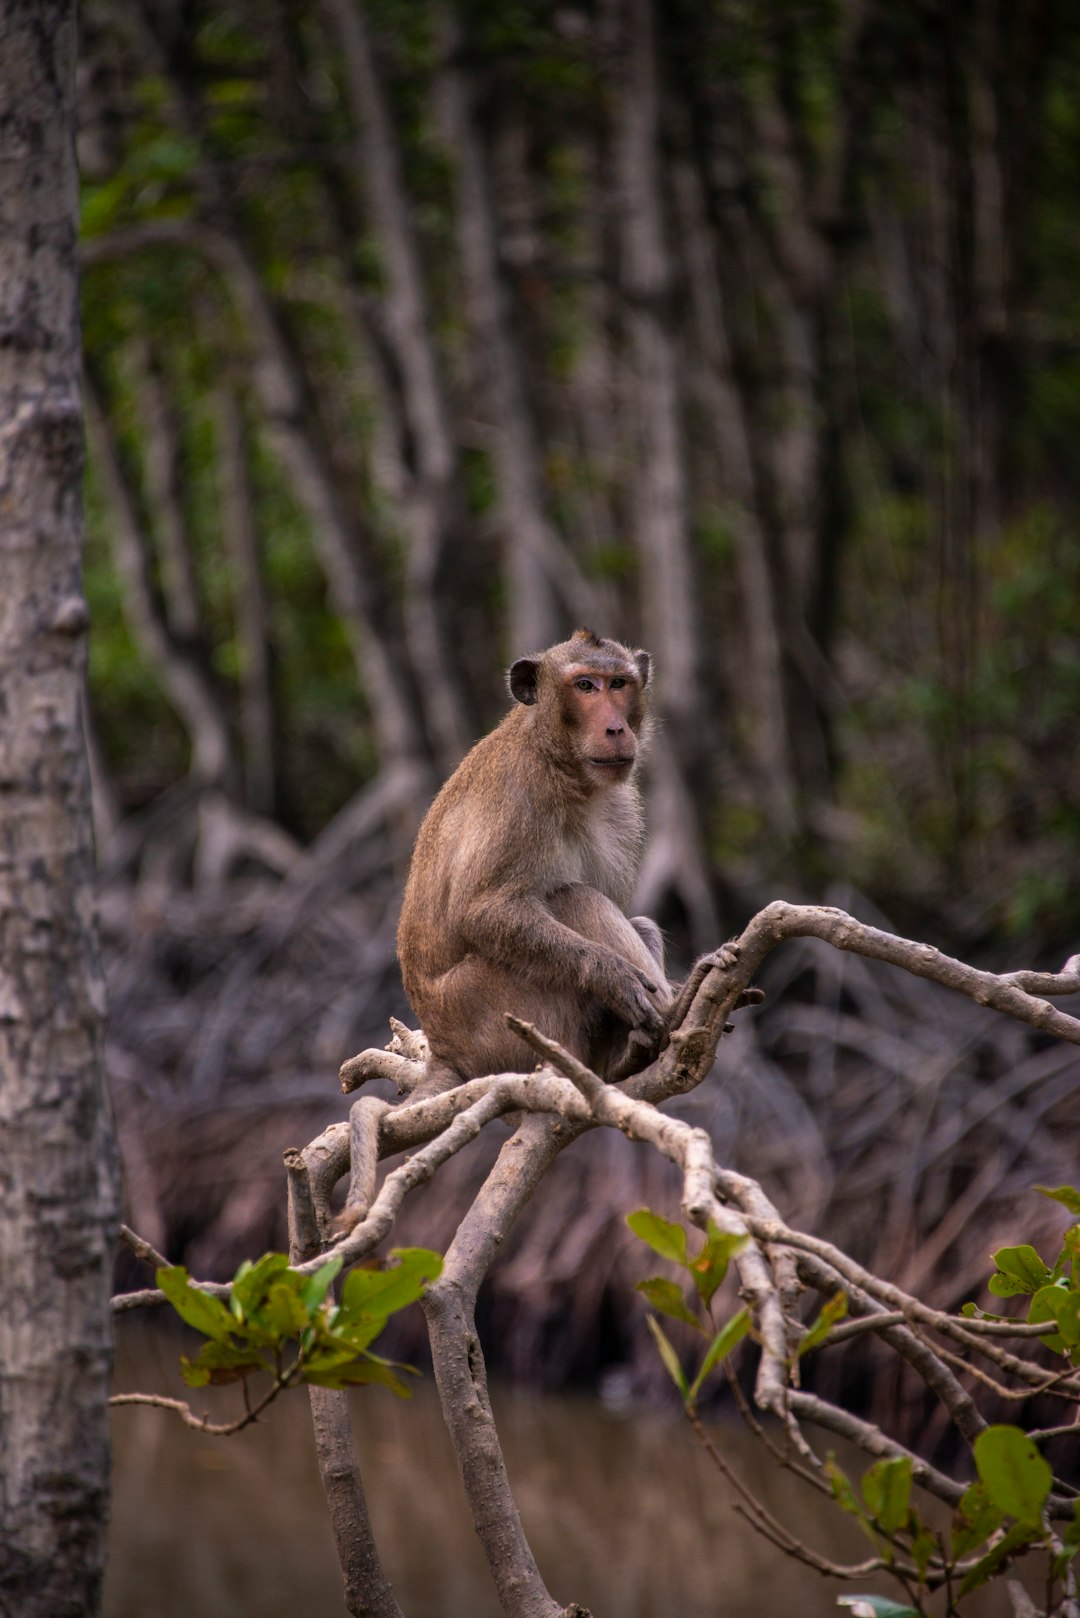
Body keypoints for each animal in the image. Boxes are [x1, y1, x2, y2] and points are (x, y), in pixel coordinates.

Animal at [396, 624, 676, 1093]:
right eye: (585, 686)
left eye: (618, 683)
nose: (615, 728)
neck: (563, 765)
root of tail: (445, 1049)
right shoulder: (520, 796)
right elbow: (481, 911)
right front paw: (613, 976)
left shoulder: (621, 806)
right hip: (495, 1011)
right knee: (574, 898)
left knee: (633, 921)